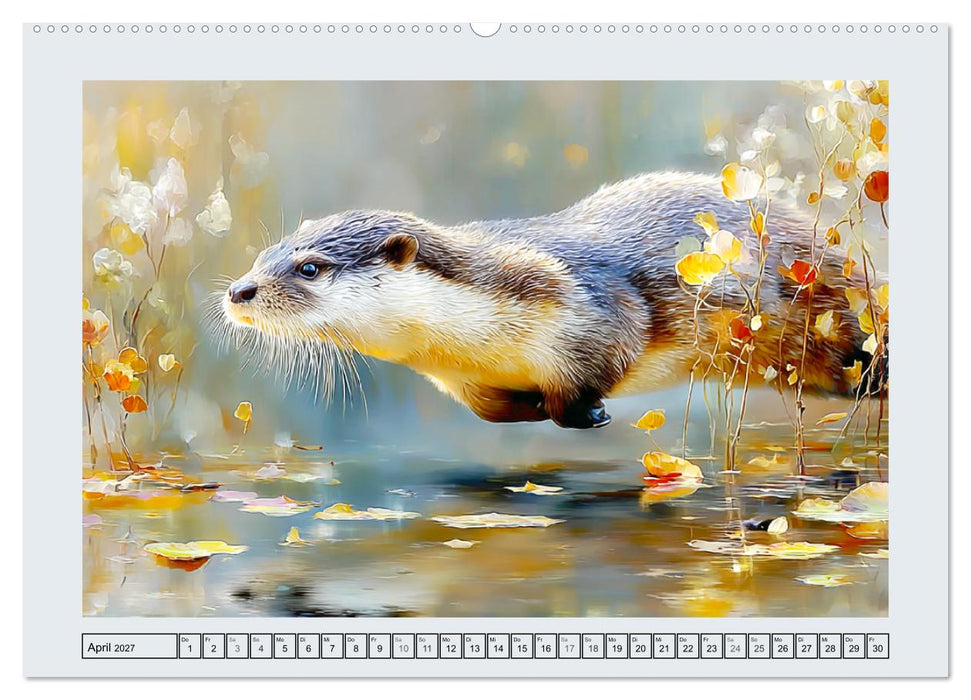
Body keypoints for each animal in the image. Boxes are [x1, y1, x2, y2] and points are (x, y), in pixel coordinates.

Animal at [222, 172, 877, 429]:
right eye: (266, 252)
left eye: (310, 267)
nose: (239, 290)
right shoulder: (464, 382)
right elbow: (495, 412)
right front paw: (533, 408)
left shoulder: (589, 304)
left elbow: (610, 354)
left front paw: (584, 411)